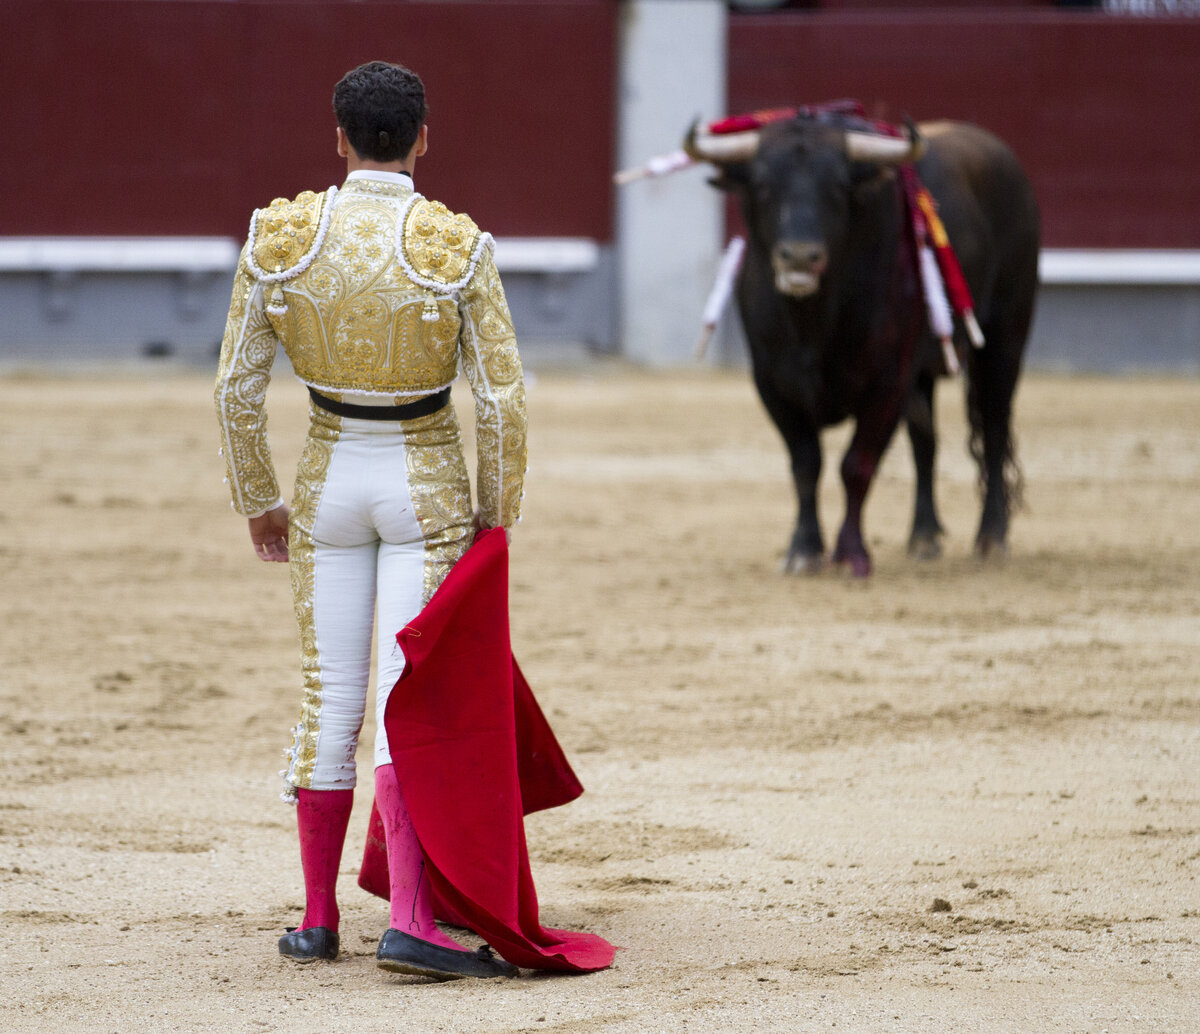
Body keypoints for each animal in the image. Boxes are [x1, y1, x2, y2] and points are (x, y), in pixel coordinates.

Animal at [691, 110, 1036, 578]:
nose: (800, 257)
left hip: (1005, 338)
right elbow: (806, 463)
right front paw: (803, 551)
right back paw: (923, 536)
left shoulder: (886, 382)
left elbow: (856, 465)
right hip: (922, 371)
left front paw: (851, 554)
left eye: (838, 187)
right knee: (925, 441)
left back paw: (992, 537)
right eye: (762, 184)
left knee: (995, 431)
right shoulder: (772, 383)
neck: (813, 325)